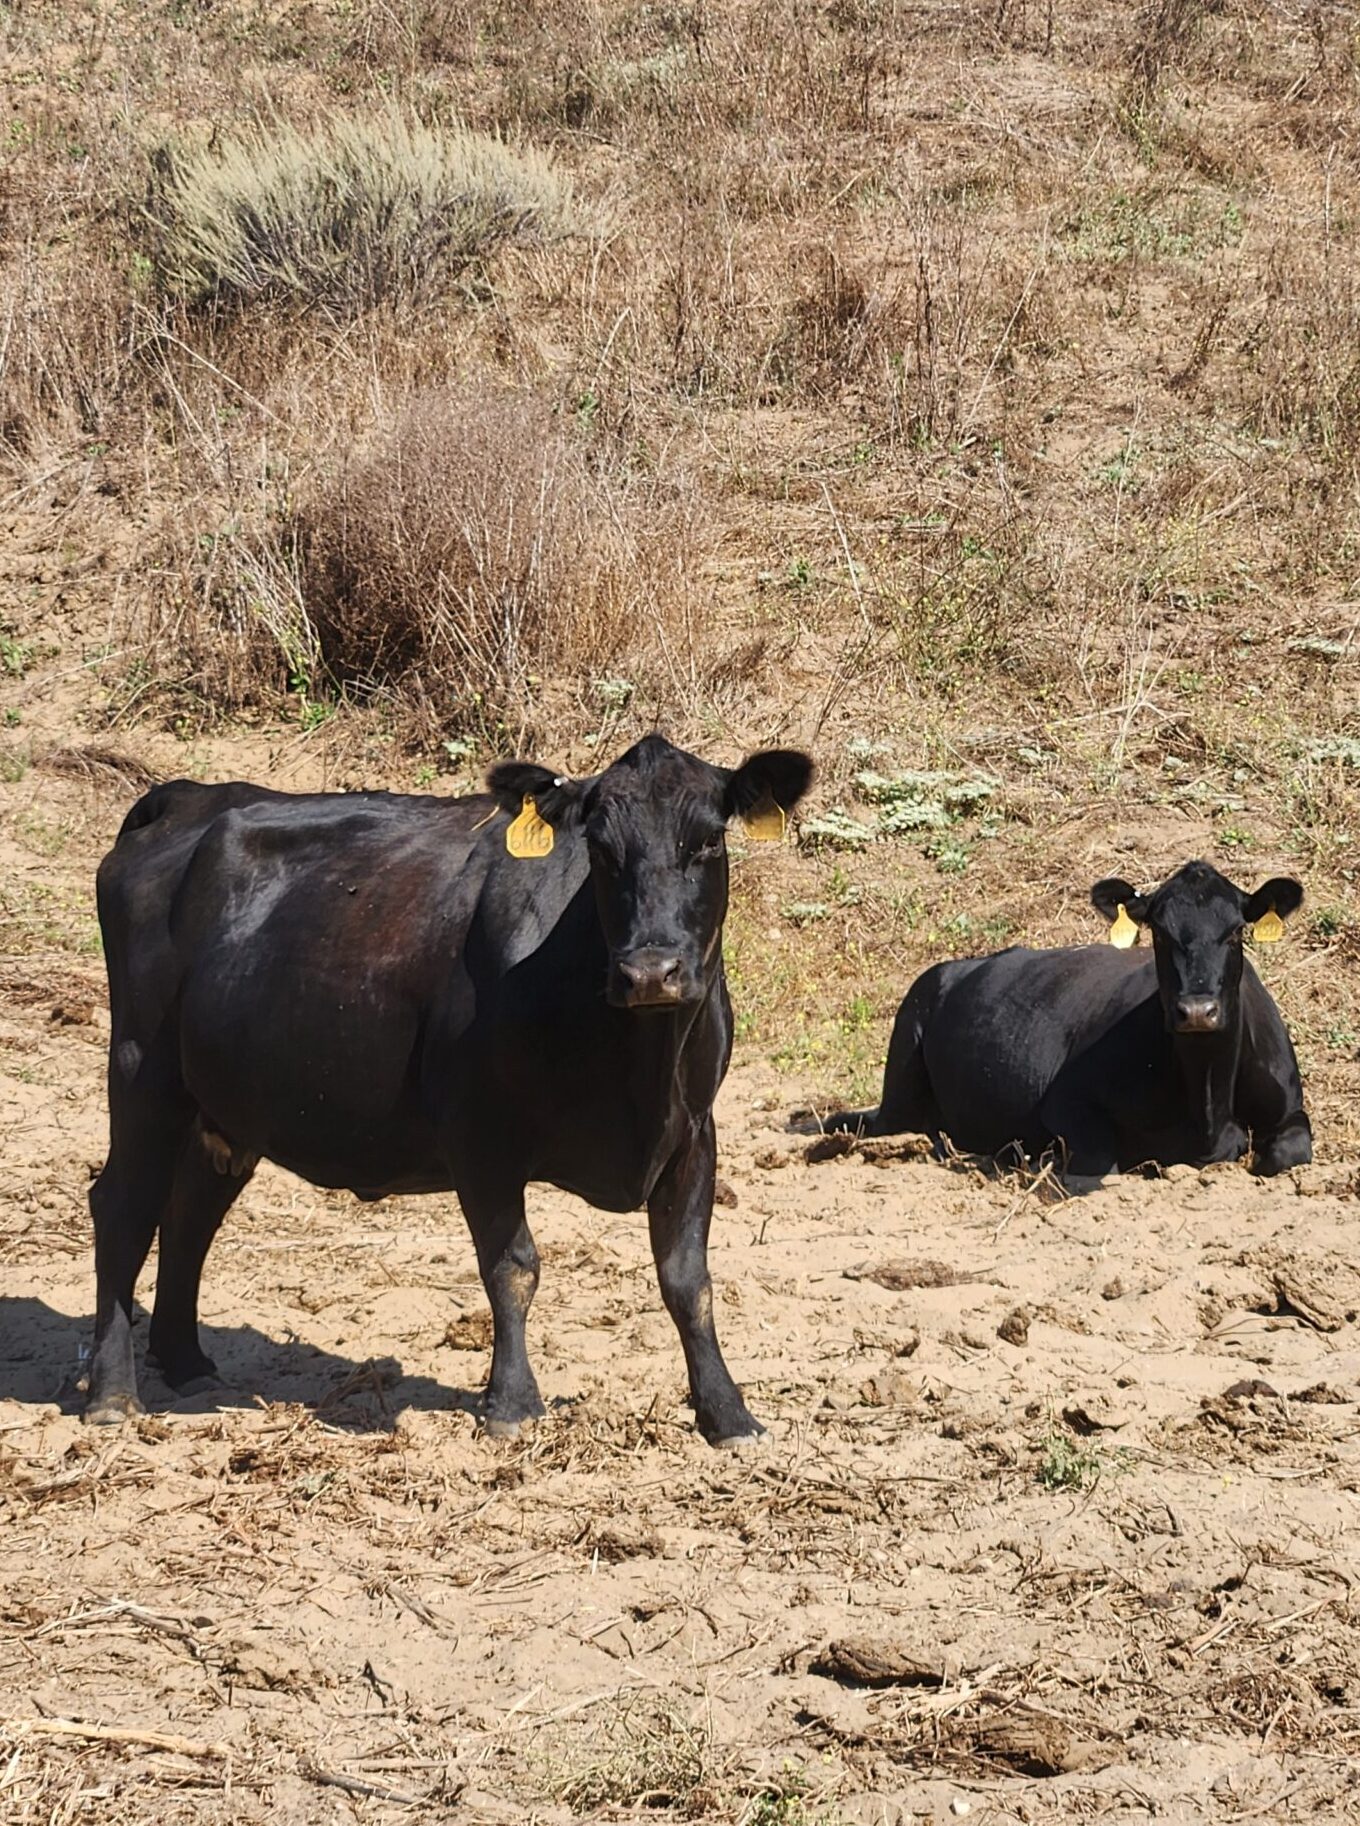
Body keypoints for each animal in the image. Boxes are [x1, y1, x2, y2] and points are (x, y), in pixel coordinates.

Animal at [86, 734, 813, 1445]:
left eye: (709, 842)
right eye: (601, 850)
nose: (650, 972)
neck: (640, 1069)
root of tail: (189, 797)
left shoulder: (694, 1133)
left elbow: (688, 1280)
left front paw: (728, 1413)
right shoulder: (480, 1131)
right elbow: (512, 1266)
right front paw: (512, 1404)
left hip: (225, 1103)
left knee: (190, 1211)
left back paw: (186, 1363)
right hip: (142, 1069)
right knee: (123, 1206)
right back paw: (112, 1394)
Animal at [827, 862, 1311, 1180]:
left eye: (1236, 931)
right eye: (1158, 932)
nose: (1196, 1011)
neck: (1208, 1098)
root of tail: (949, 969)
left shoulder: (1290, 1108)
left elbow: (1286, 1154)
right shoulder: (1066, 1100)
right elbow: (1101, 1159)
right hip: (901, 1080)